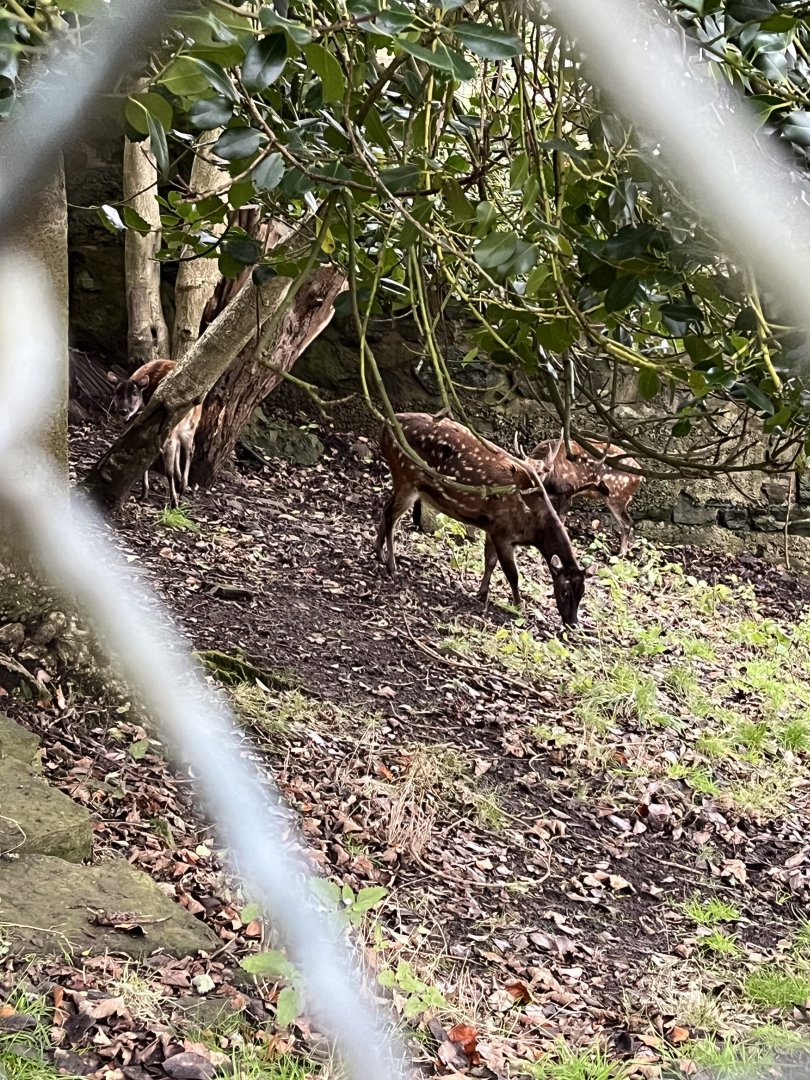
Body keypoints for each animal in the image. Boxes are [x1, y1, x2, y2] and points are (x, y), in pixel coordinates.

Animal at [106, 359, 202, 509]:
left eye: (135, 393)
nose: (124, 411)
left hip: (186, 428)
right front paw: (144, 493)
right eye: (117, 392)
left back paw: (182, 487)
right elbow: (142, 460)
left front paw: (174, 502)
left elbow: (167, 471)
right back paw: (180, 483)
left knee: (189, 450)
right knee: (183, 448)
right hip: (183, 430)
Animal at [375, 413, 588, 627]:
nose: (573, 622)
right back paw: (391, 565)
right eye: (564, 591)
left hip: (402, 478)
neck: (533, 526)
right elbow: (513, 574)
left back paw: (378, 553)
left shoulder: (492, 527)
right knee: (391, 515)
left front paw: (482, 593)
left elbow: (490, 562)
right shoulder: (503, 532)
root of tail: (386, 425)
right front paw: (519, 607)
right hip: (407, 476)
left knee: (385, 508)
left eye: (582, 593)